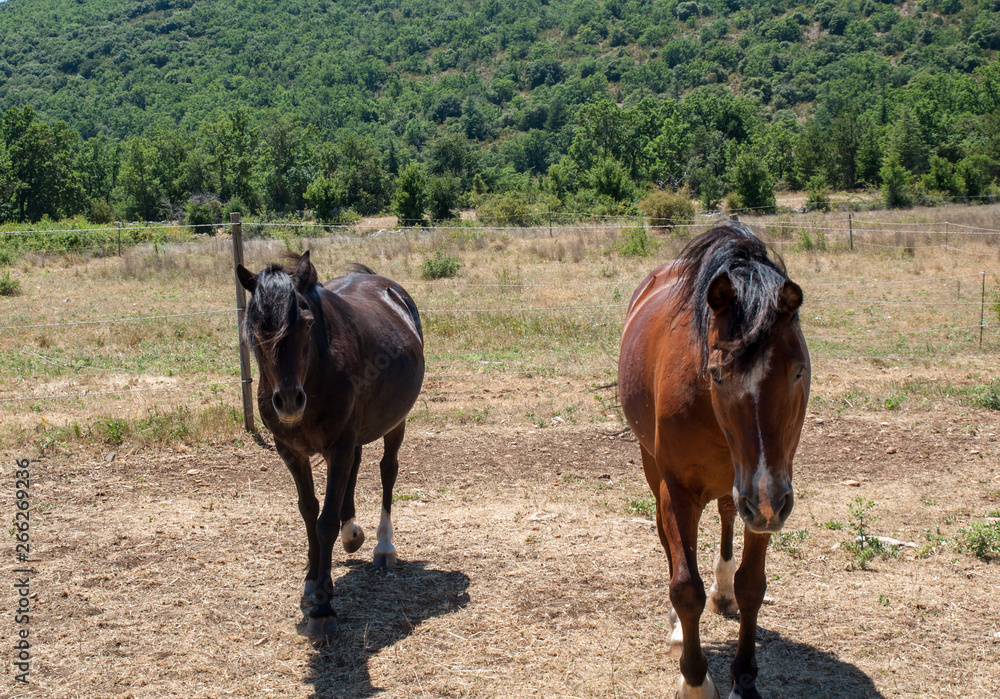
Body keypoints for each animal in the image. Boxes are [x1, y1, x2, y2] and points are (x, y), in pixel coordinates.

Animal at [236, 252, 425, 639]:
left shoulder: (338, 446)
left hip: (395, 423)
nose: (289, 401)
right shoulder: (291, 451)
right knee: (356, 467)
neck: (315, 371)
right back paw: (352, 532)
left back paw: (384, 545)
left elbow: (324, 522)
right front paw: (312, 582)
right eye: (255, 328)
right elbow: (309, 511)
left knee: (388, 472)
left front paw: (323, 608)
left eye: (307, 324)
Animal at [618, 222, 810, 699]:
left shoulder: (767, 490)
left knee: (726, 514)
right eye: (718, 374)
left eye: (798, 370)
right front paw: (695, 680)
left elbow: (752, 586)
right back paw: (677, 630)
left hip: (742, 486)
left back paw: (722, 592)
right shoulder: (682, 490)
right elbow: (686, 588)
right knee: (667, 541)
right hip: (659, 469)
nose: (766, 502)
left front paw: (745, 678)